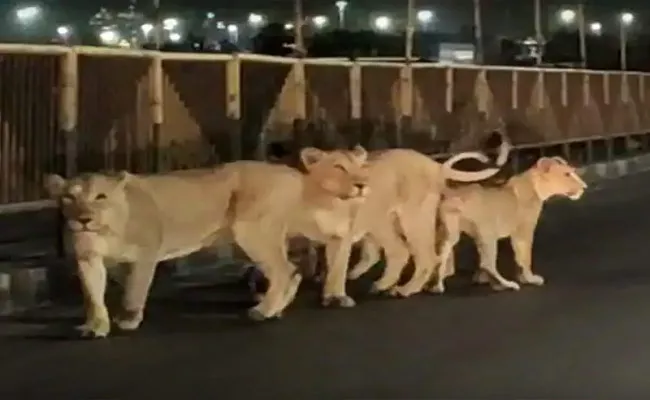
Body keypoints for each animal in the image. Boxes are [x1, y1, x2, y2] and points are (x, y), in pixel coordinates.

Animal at [426, 155, 588, 292]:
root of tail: (452, 192)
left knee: (442, 253)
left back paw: (437, 286)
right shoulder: (524, 230)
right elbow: (524, 256)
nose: (584, 187)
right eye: (567, 174)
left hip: (451, 232)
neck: (534, 185)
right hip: (487, 232)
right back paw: (508, 285)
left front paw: (484, 279)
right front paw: (530, 279)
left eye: (572, 172)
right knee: (487, 263)